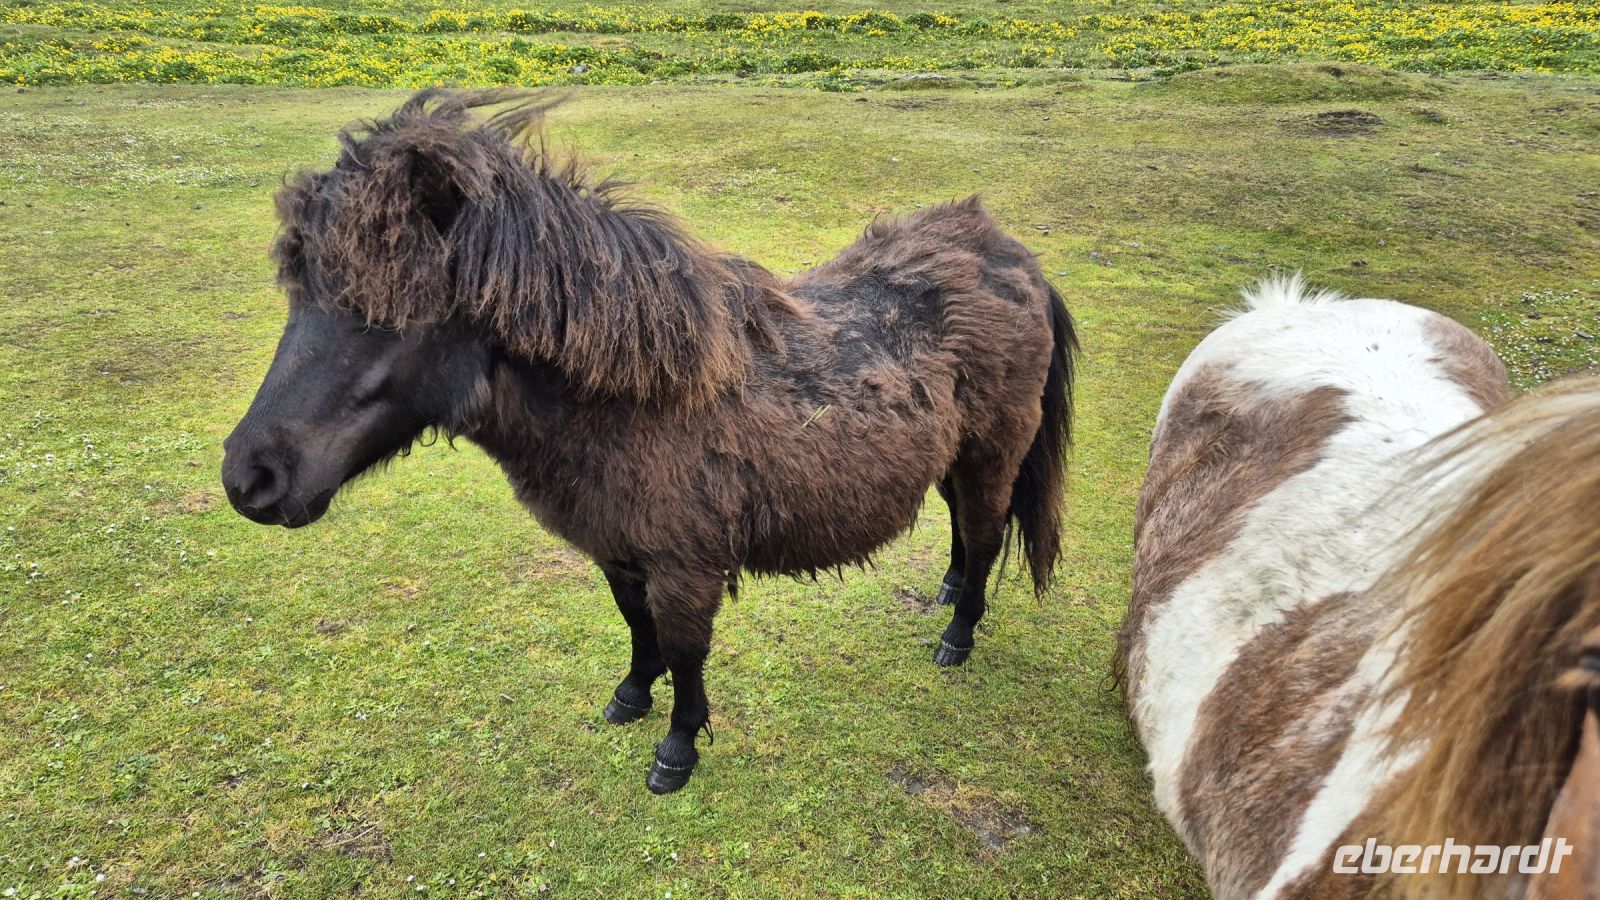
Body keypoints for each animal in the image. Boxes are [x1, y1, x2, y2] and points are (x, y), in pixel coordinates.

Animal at [220, 90, 1077, 794]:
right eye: (298, 296)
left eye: (380, 312)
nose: (248, 477)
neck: (635, 400)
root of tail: (1011, 254)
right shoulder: (618, 549)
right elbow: (637, 628)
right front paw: (632, 694)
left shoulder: (686, 566)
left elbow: (687, 651)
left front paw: (677, 750)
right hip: (955, 457)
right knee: (966, 527)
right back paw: (948, 592)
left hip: (994, 452)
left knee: (986, 530)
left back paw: (957, 637)